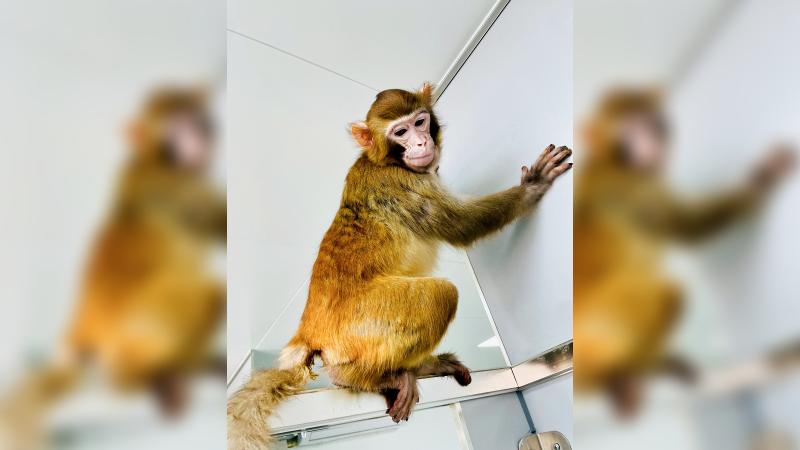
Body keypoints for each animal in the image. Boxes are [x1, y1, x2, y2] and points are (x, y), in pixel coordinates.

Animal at [0, 86, 226, 449]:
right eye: (175, 126)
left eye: (195, 118)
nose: (199, 135)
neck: (157, 162)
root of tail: (84, 321)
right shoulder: (176, 190)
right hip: (130, 336)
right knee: (213, 295)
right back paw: (150, 378)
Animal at [227, 83, 572, 450]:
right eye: (401, 132)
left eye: (420, 122)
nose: (420, 143)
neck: (384, 160)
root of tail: (309, 331)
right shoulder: (401, 183)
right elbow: (463, 226)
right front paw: (531, 188)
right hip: (361, 323)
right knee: (441, 294)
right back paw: (365, 377)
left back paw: (420, 368)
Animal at [572, 86, 795, 417]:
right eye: (628, 132)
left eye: (650, 123)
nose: (649, 144)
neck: (614, 163)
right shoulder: (636, 189)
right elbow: (686, 228)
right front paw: (762, 181)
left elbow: (685, 229)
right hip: (605, 328)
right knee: (671, 294)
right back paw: (626, 375)